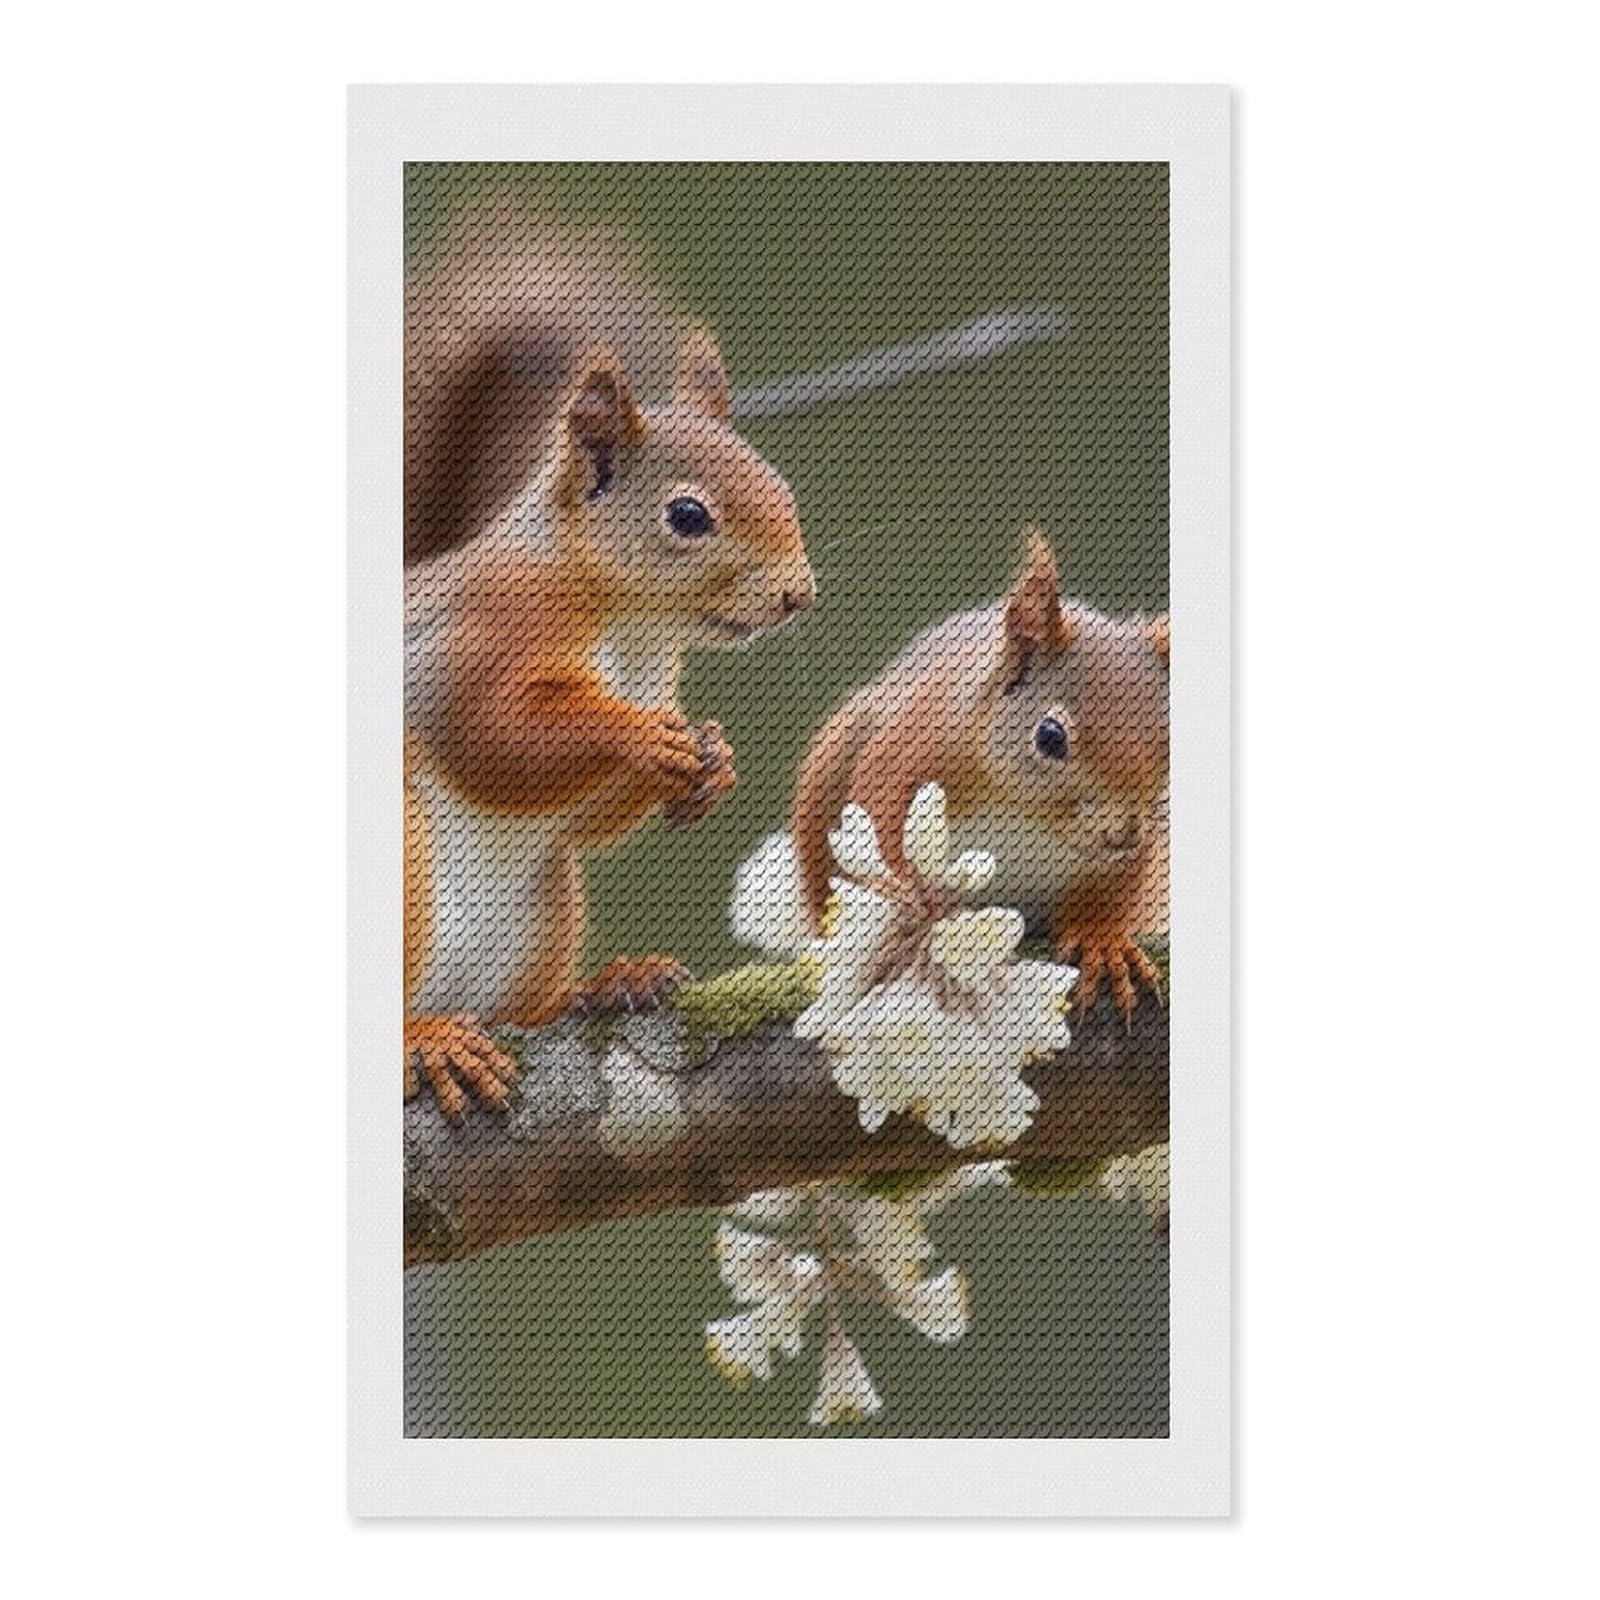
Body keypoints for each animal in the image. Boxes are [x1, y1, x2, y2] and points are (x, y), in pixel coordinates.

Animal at [404, 220, 814, 1120]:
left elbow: (585, 817)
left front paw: (712, 761)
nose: (799, 593)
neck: (629, 623)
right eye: (687, 515)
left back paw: (606, 985)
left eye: (782, 485)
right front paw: (634, 736)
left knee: (524, 1009)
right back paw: (425, 1037)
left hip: (544, 909)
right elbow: (491, 739)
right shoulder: (476, 641)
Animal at [791, 530, 1168, 1020]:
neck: (1030, 815)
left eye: (1169, 737)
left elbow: (1107, 897)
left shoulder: (1132, 854)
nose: (1124, 831)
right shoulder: (911, 755)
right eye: (1049, 736)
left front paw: (1101, 941)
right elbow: (883, 828)